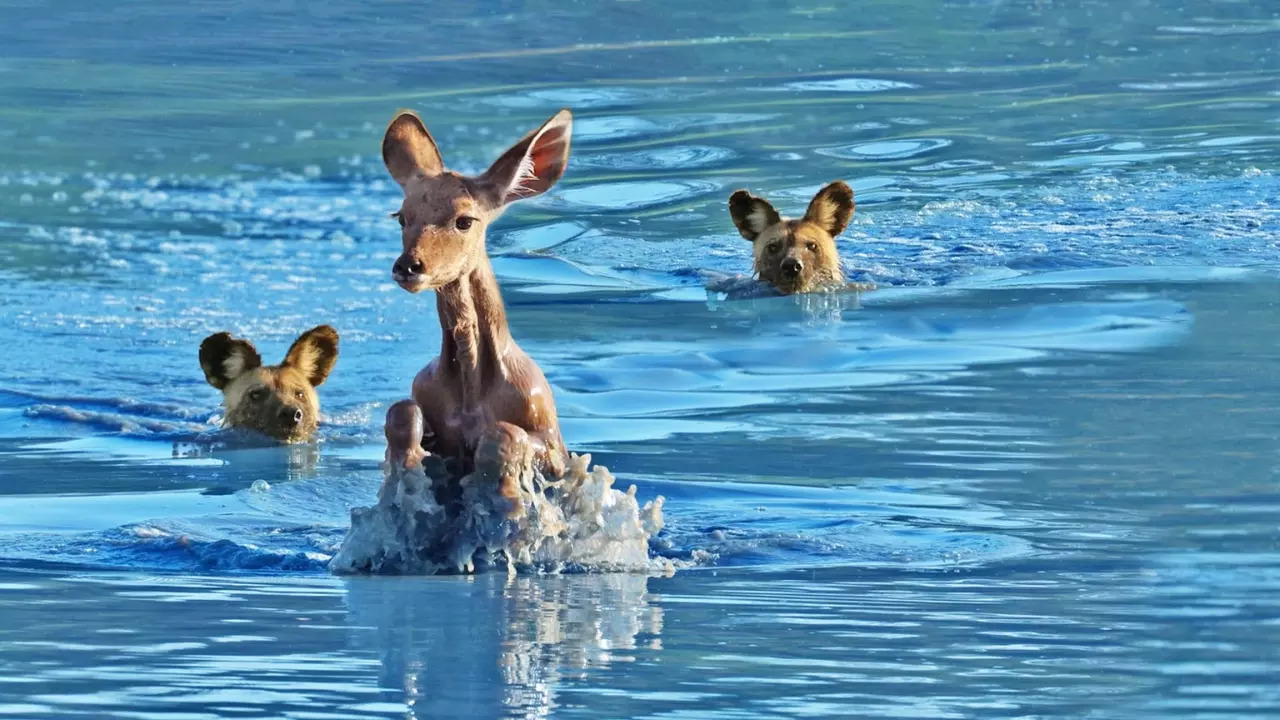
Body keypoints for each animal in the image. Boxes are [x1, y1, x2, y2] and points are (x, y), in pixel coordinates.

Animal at [376, 107, 573, 486]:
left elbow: (509, 434)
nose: (408, 266)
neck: (471, 395)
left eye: (465, 220)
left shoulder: (551, 435)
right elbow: (402, 412)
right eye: (402, 216)